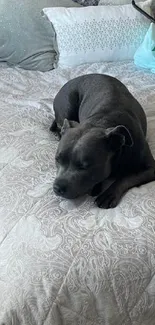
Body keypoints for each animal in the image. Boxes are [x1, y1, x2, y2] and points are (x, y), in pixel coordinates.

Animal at [50, 73, 155, 208]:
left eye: (84, 167)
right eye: (57, 159)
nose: (57, 188)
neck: (102, 121)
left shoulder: (150, 169)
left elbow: (126, 177)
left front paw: (109, 194)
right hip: (67, 107)